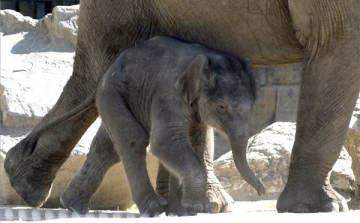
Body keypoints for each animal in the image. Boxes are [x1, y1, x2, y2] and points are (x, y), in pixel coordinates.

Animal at [23, 36, 264, 216]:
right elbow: (165, 143)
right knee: (133, 140)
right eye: (222, 107)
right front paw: (197, 208)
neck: (206, 57)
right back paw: (153, 208)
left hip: (114, 97)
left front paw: (184, 212)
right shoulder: (168, 95)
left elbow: (192, 144)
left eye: (253, 105)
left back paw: (73, 205)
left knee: (107, 148)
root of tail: (105, 72)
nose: (262, 191)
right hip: (112, 94)